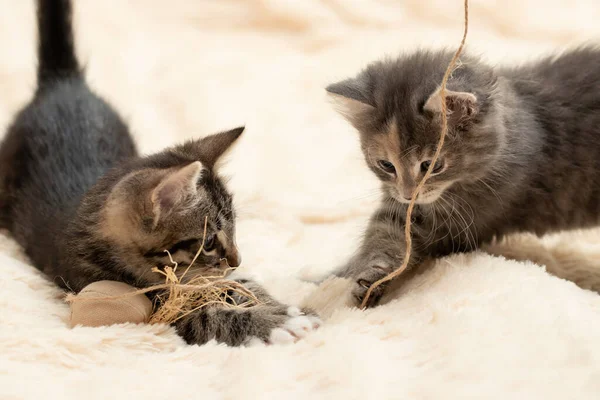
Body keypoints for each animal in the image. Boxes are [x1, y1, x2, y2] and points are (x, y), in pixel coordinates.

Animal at [0, 0, 322, 346]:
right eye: (209, 242)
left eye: (235, 228)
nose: (237, 260)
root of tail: (62, 83)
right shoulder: (154, 302)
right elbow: (206, 317)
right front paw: (273, 323)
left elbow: (237, 286)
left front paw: (280, 306)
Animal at [326, 48, 600, 308]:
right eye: (386, 165)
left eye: (432, 165)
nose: (408, 194)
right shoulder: (400, 208)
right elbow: (383, 236)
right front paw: (366, 277)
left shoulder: (463, 224)